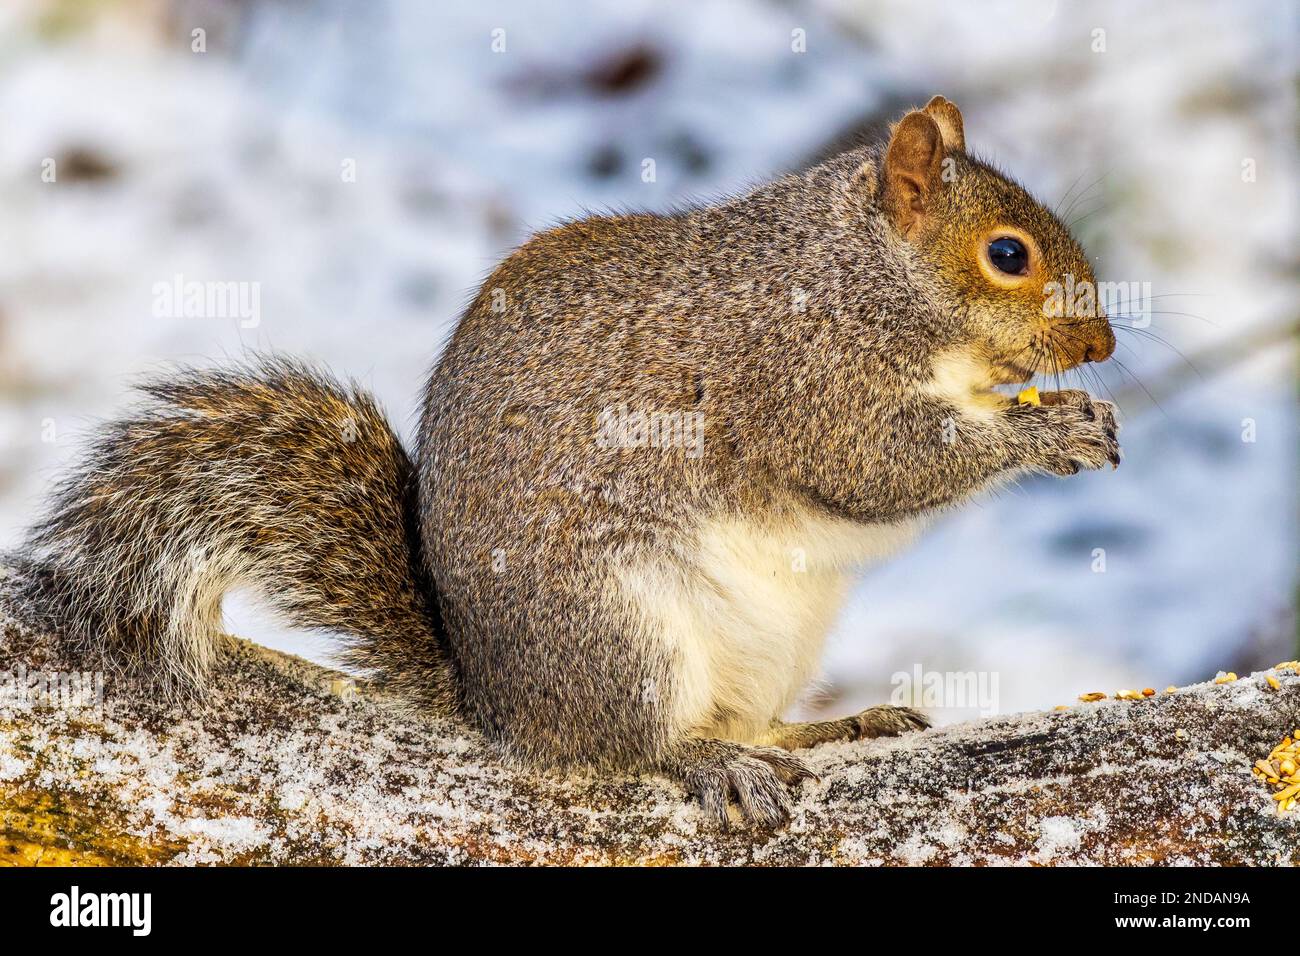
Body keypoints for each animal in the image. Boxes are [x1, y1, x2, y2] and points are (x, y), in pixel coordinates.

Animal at [12, 96, 1118, 828]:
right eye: (1008, 255)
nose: (1103, 343)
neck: (857, 272)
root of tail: (496, 699)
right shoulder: (801, 377)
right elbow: (877, 466)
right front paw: (1050, 431)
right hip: (621, 631)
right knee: (628, 746)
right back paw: (709, 760)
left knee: (751, 718)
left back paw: (823, 730)